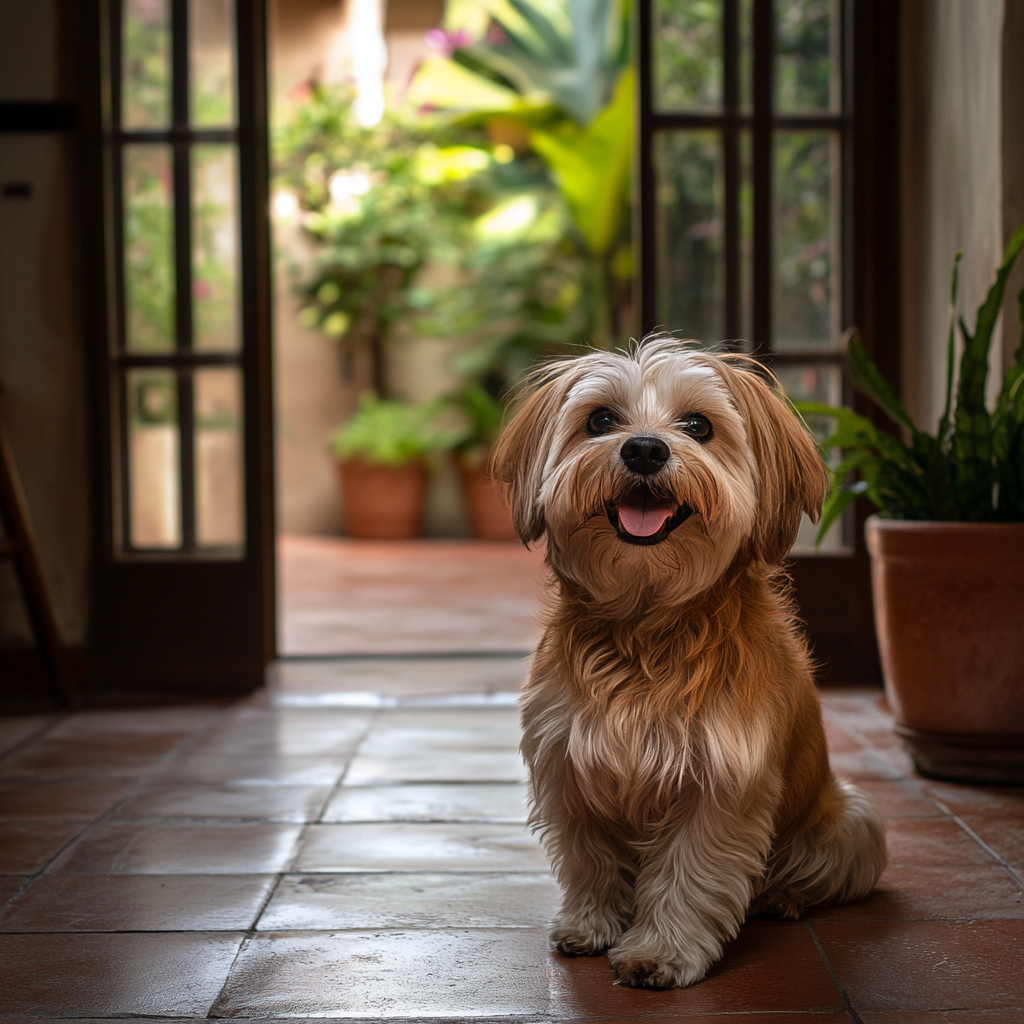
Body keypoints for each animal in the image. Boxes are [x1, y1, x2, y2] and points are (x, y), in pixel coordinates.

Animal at [493, 339, 888, 987]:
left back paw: (779, 896)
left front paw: (661, 951)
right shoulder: (568, 767)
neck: (647, 628)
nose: (644, 448)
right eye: (601, 420)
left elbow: (689, 874)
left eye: (698, 426)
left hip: (855, 825)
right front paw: (591, 924)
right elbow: (589, 861)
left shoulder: (720, 783)